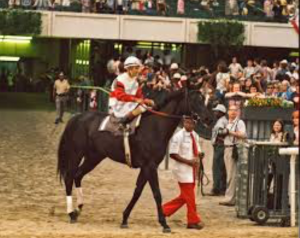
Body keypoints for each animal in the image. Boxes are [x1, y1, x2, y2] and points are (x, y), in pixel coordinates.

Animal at [57, 87, 214, 232]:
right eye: (195, 100)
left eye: (204, 99)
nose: (209, 118)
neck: (155, 127)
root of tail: (77, 118)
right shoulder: (150, 166)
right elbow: (157, 193)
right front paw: (164, 224)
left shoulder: (146, 167)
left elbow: (137, 192)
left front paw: (125, 219)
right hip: (76, 153)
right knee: (69, 177)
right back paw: (71, 213)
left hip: (94, 157)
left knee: (78, 175)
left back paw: (78, 209)